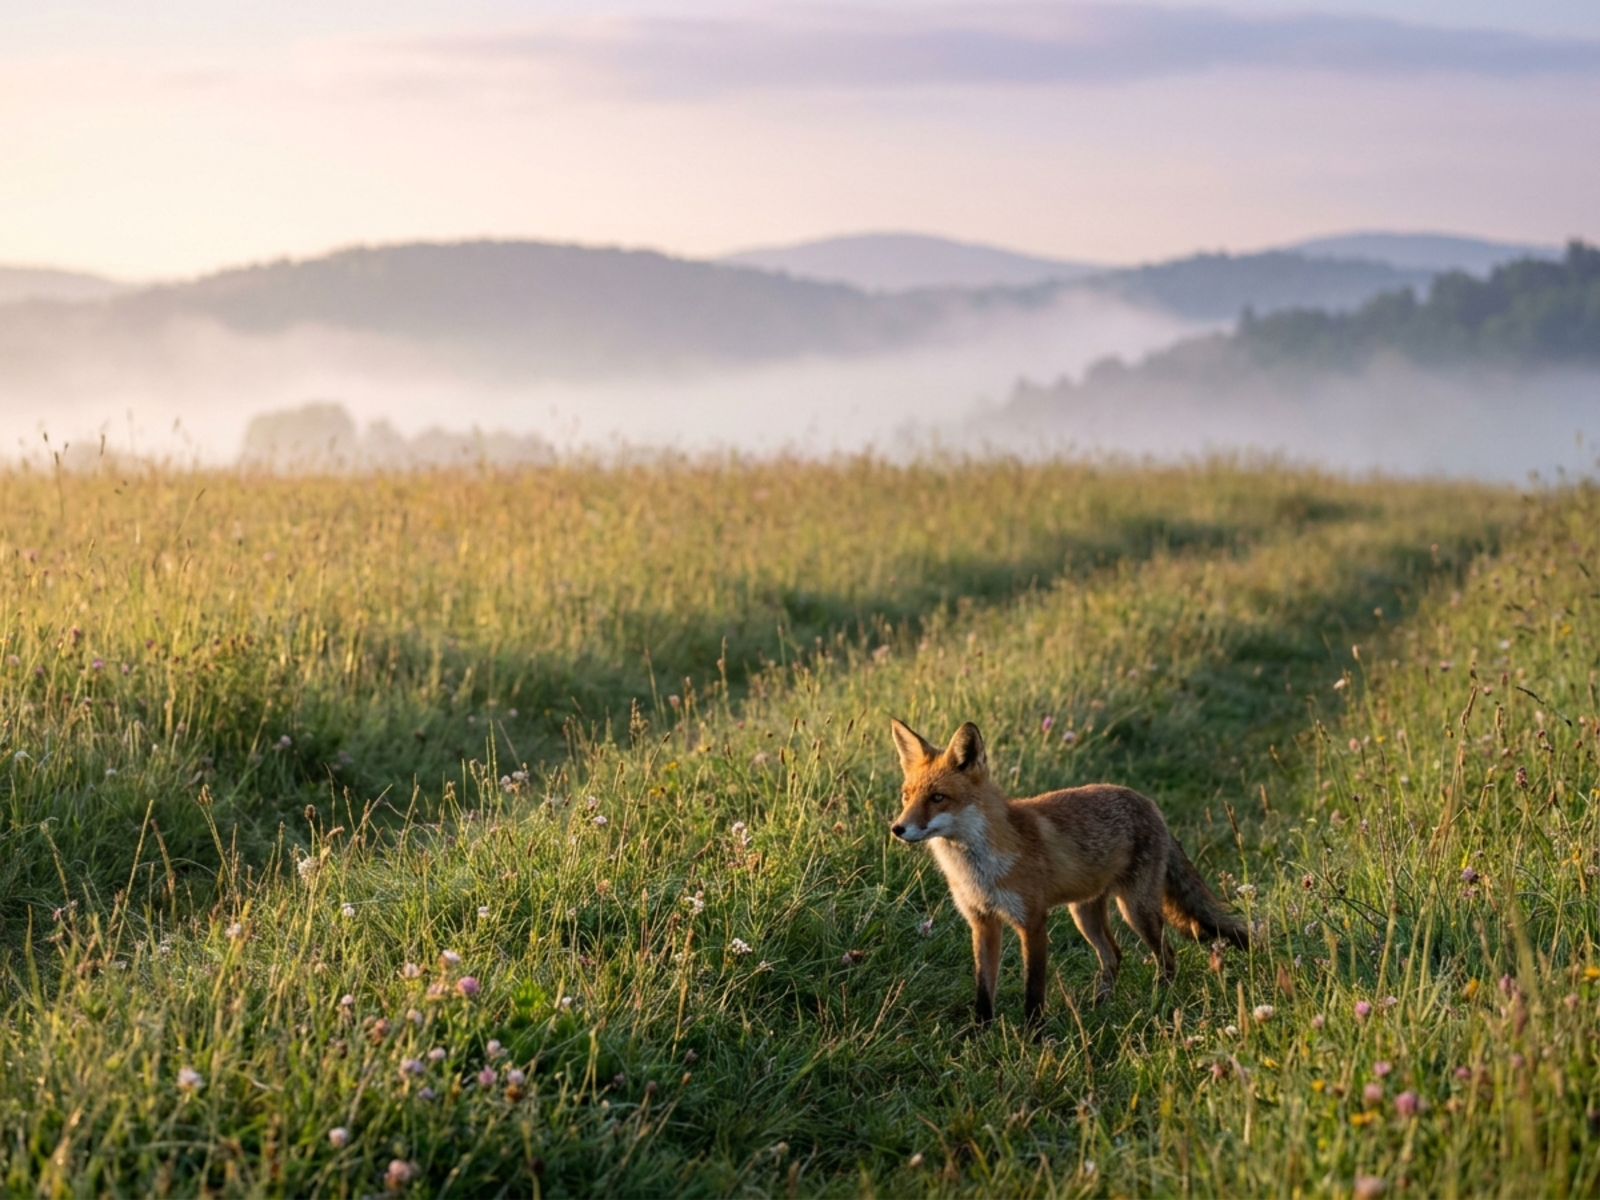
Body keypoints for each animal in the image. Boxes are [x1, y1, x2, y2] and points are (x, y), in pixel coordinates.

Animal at [890, 718, 1247, 1023]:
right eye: (906, 796)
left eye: (938, 798)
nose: (897, 828)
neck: (979, 869)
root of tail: (1150, 804)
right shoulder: (982, 922)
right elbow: (983, 990)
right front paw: (980, 1036)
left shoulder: (1033, 921)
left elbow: (1034, 991)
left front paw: (1033, 1039)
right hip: (1084, 913)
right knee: (1114, 956)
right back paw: (1100, 1007)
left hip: (1136, 910)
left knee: (1167, 955)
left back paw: (1161, 999)